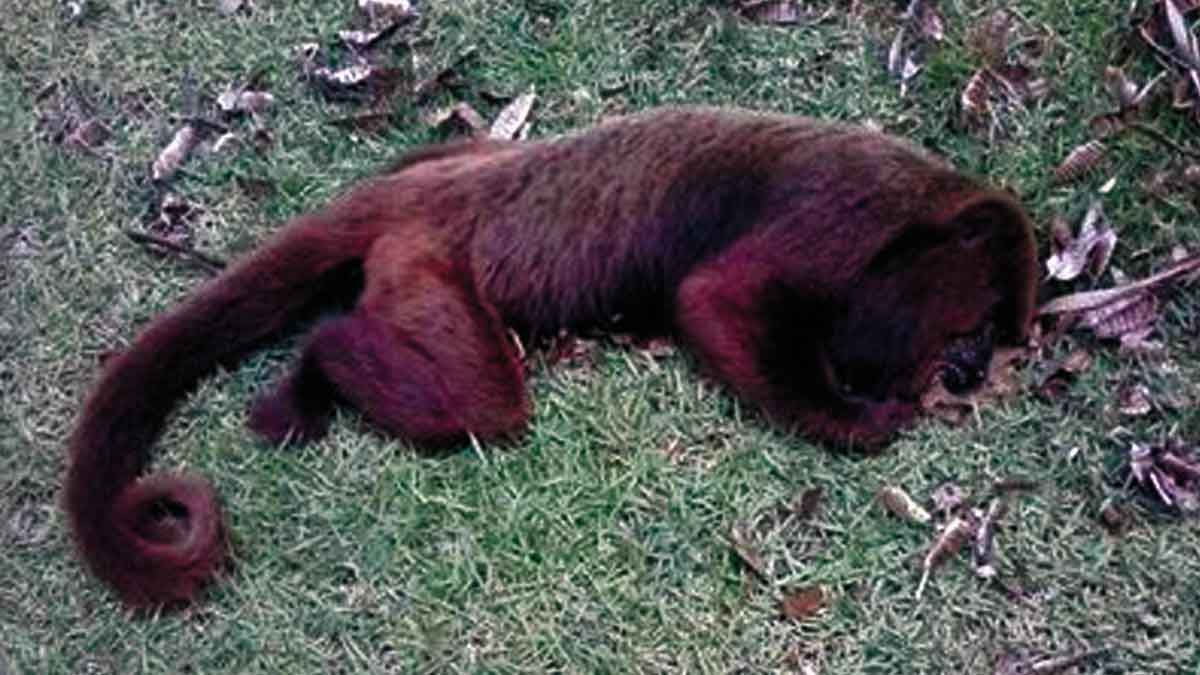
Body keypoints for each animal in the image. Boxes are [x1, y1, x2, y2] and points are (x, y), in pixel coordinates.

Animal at [64, 106, 1038, 609]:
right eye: (969, 330)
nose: (966, 374)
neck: (918, 215)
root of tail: (421, 192)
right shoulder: (845, 215)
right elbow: (715, 299)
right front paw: (863, 415)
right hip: (424, 268)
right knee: (481, 402)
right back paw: (323, 361)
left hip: (438, 180)